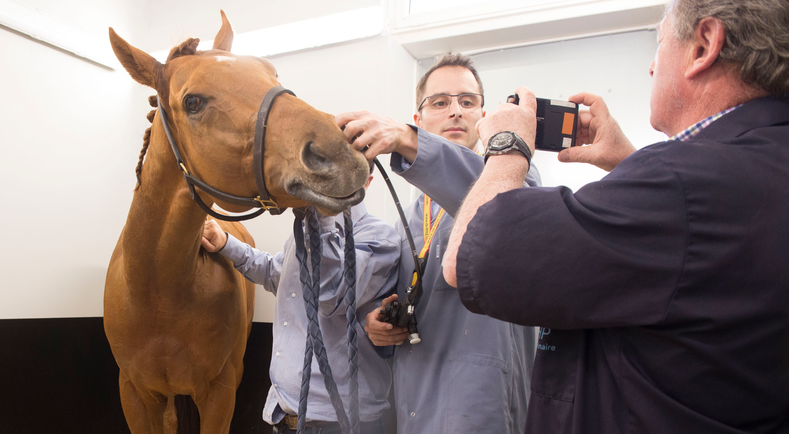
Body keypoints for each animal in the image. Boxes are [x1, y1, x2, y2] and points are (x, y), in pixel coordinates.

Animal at [101, 11, 370, 432]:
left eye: (270, 72)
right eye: (193, 102)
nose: (341, 150)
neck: (156, 292)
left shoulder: (220, 392)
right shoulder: (135, 394)